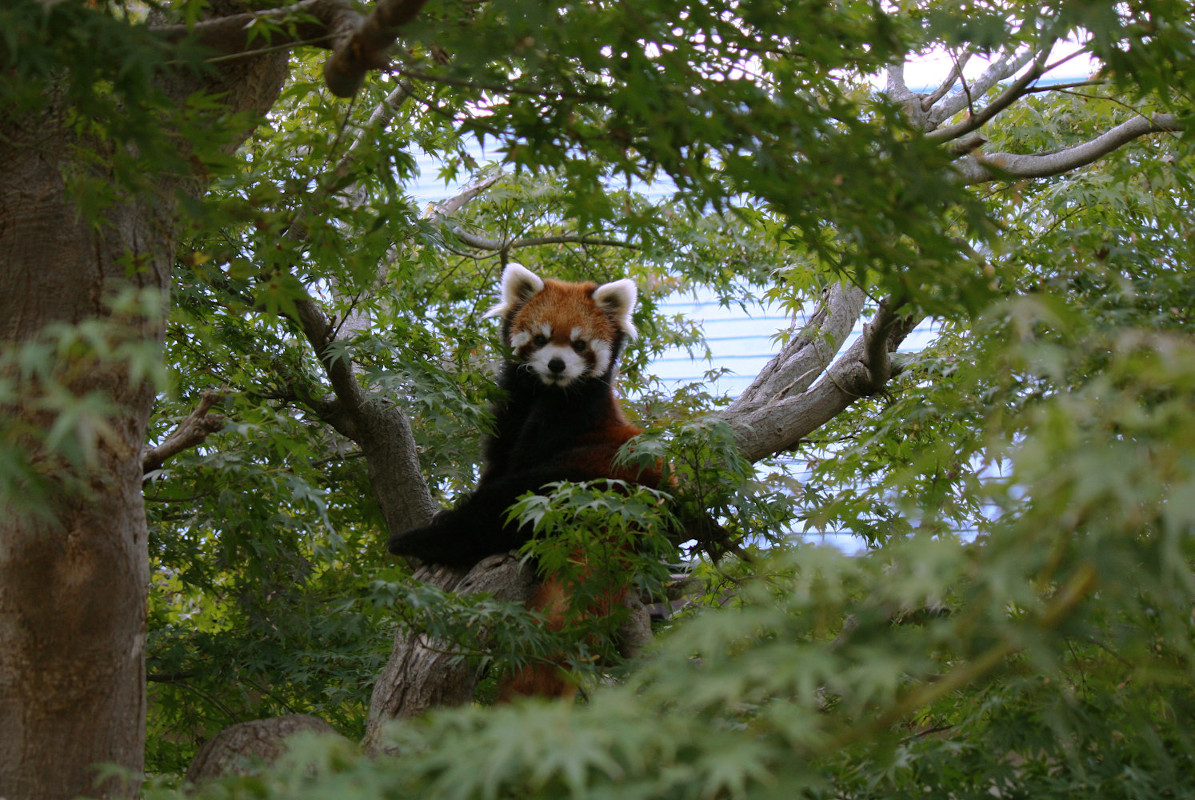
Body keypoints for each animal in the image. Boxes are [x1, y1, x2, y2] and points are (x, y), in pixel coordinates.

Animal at [387, 263, 659, 698]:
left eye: (579, 345)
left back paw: (419, 540)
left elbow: (513, 474)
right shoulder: (512, 408)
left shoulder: (570, 419)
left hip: (581, 477)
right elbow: (498, 461)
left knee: (503, 510)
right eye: (541, 339)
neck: (547, 393)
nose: (557, 365)